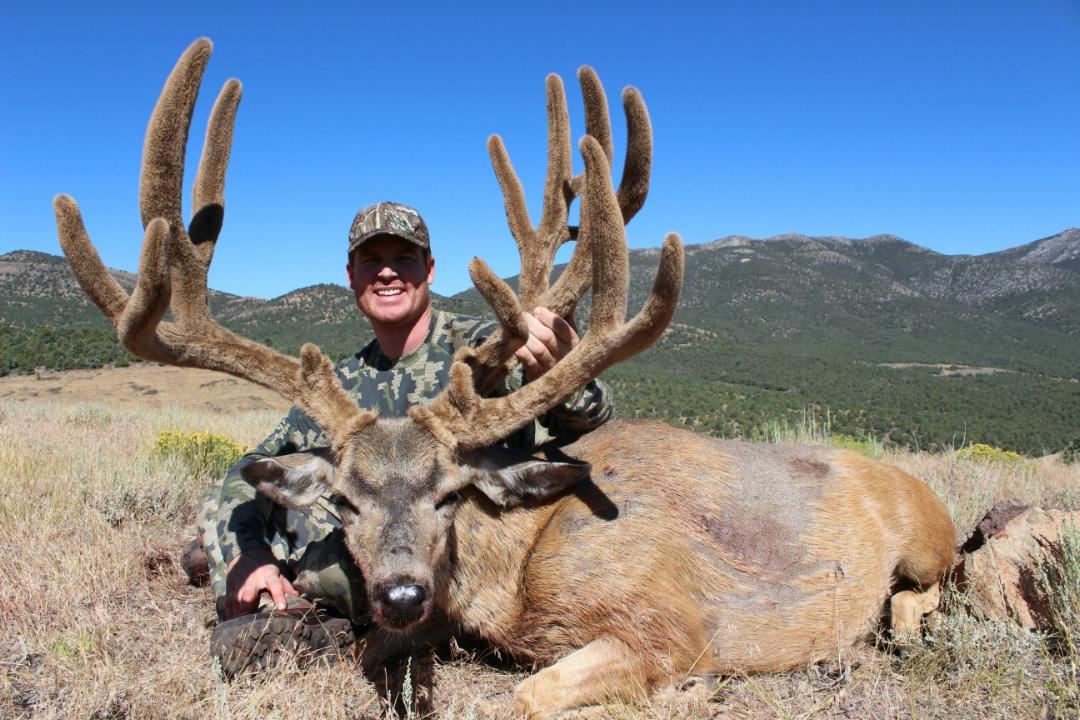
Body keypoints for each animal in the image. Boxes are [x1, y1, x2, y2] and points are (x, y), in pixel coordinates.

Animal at [54, 39, 957, 720]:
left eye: (450, 491)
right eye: (342, 501)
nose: (404, 592)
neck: (520, 567)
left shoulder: (667, 619)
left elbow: (523, 697)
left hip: (926, 538)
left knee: (932, 584)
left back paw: (900, 623)